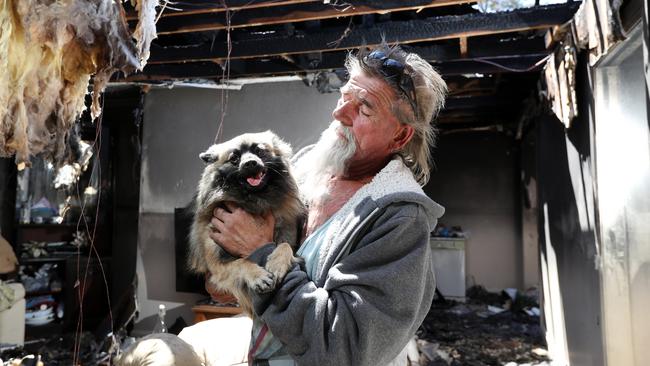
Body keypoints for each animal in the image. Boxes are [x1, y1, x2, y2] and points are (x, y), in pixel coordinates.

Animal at [185, 130, 302, 316]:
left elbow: (285, 246)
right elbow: (241, 262)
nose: (250, 163)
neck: (254, 200)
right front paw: (258, 276)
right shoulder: (217, 265)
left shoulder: (287, 235)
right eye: (234, 158)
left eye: (259, 151)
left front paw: (276, 264)